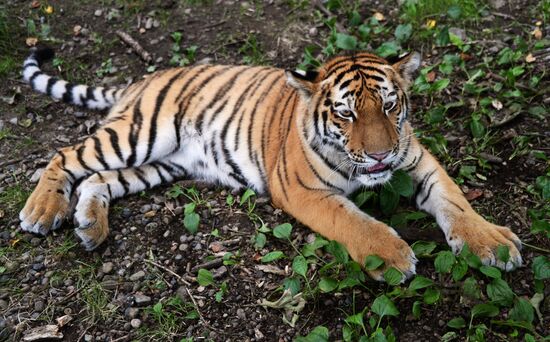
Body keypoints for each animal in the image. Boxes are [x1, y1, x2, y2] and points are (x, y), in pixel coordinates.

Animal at [19, 46, 524, 280]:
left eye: (389, 105)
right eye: (346, 113)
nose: (381, 155)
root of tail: (140, 80)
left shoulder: (418, 160)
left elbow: (454, 200)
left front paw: (492, 244)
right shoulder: (302, 190)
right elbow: (352, 221)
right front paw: (392, 255)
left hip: (162, 164)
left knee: (97, 179)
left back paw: (90, 225)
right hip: (140, 134)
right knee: (65, 156)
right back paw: (41, 212)